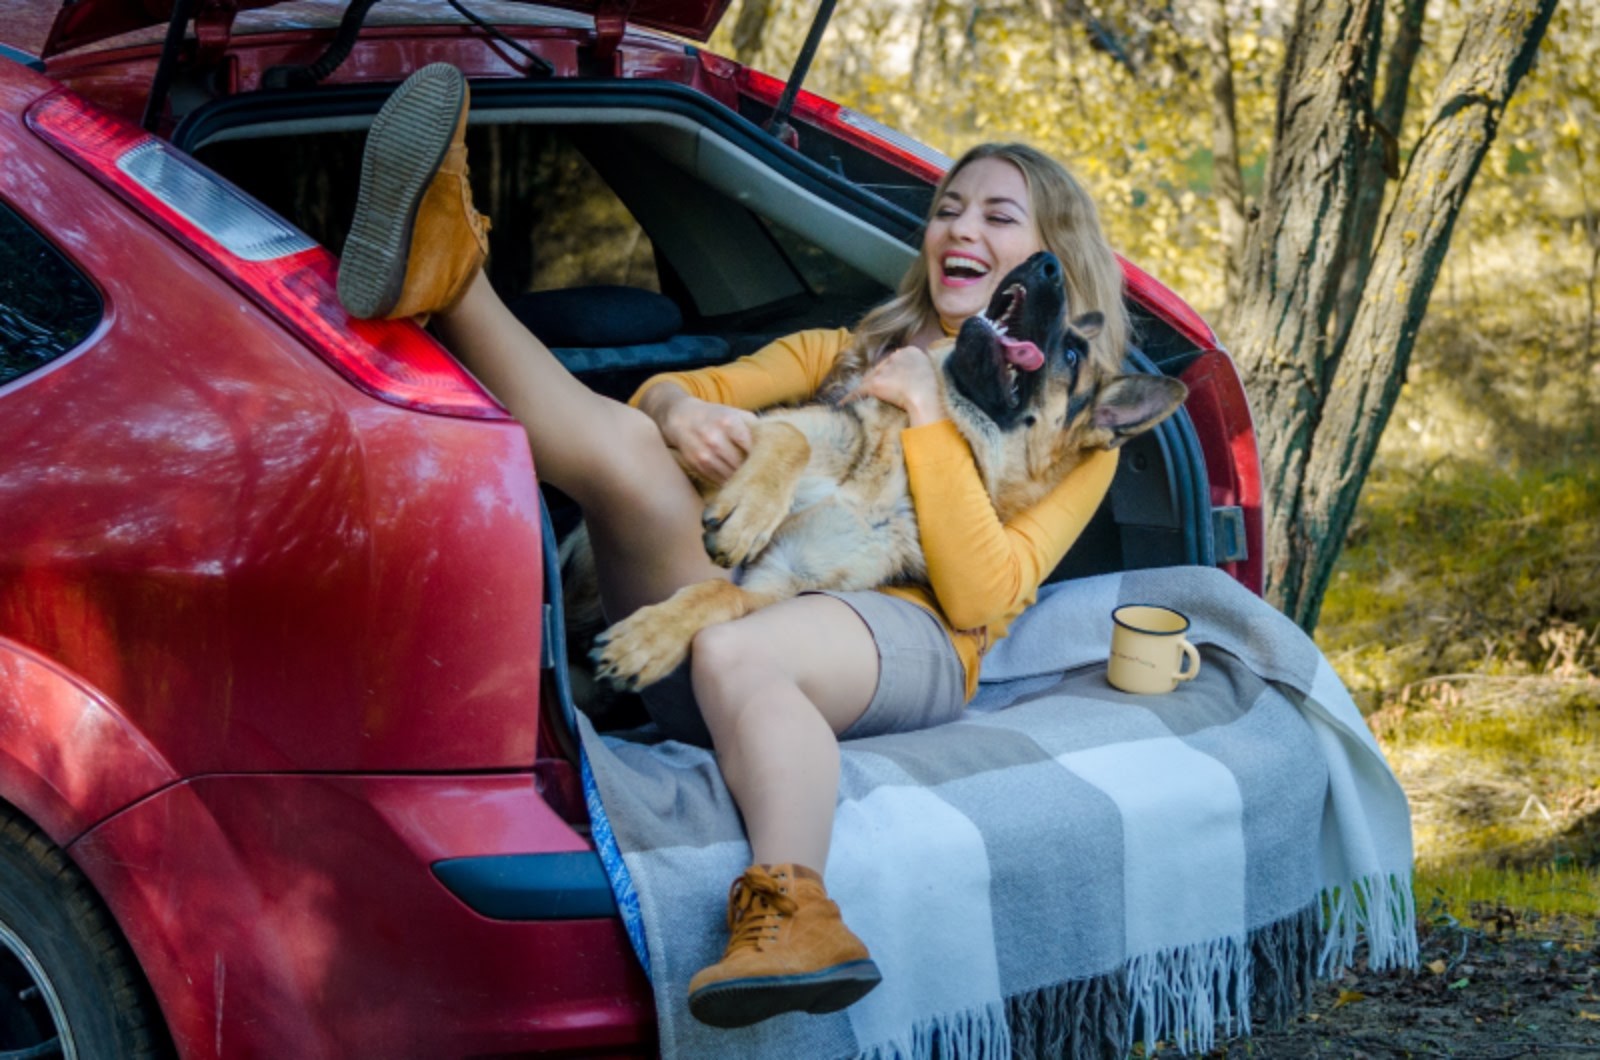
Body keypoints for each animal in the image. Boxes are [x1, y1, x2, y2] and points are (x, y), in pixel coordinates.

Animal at [592, 252, 1190, 694]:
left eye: (1071, 356)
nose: (1045, 262)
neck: (895, 469)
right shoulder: (753, 429)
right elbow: (789, 440)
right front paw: (747, 517)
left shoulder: (778, 580)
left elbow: (718, 593)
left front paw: (651, 640)